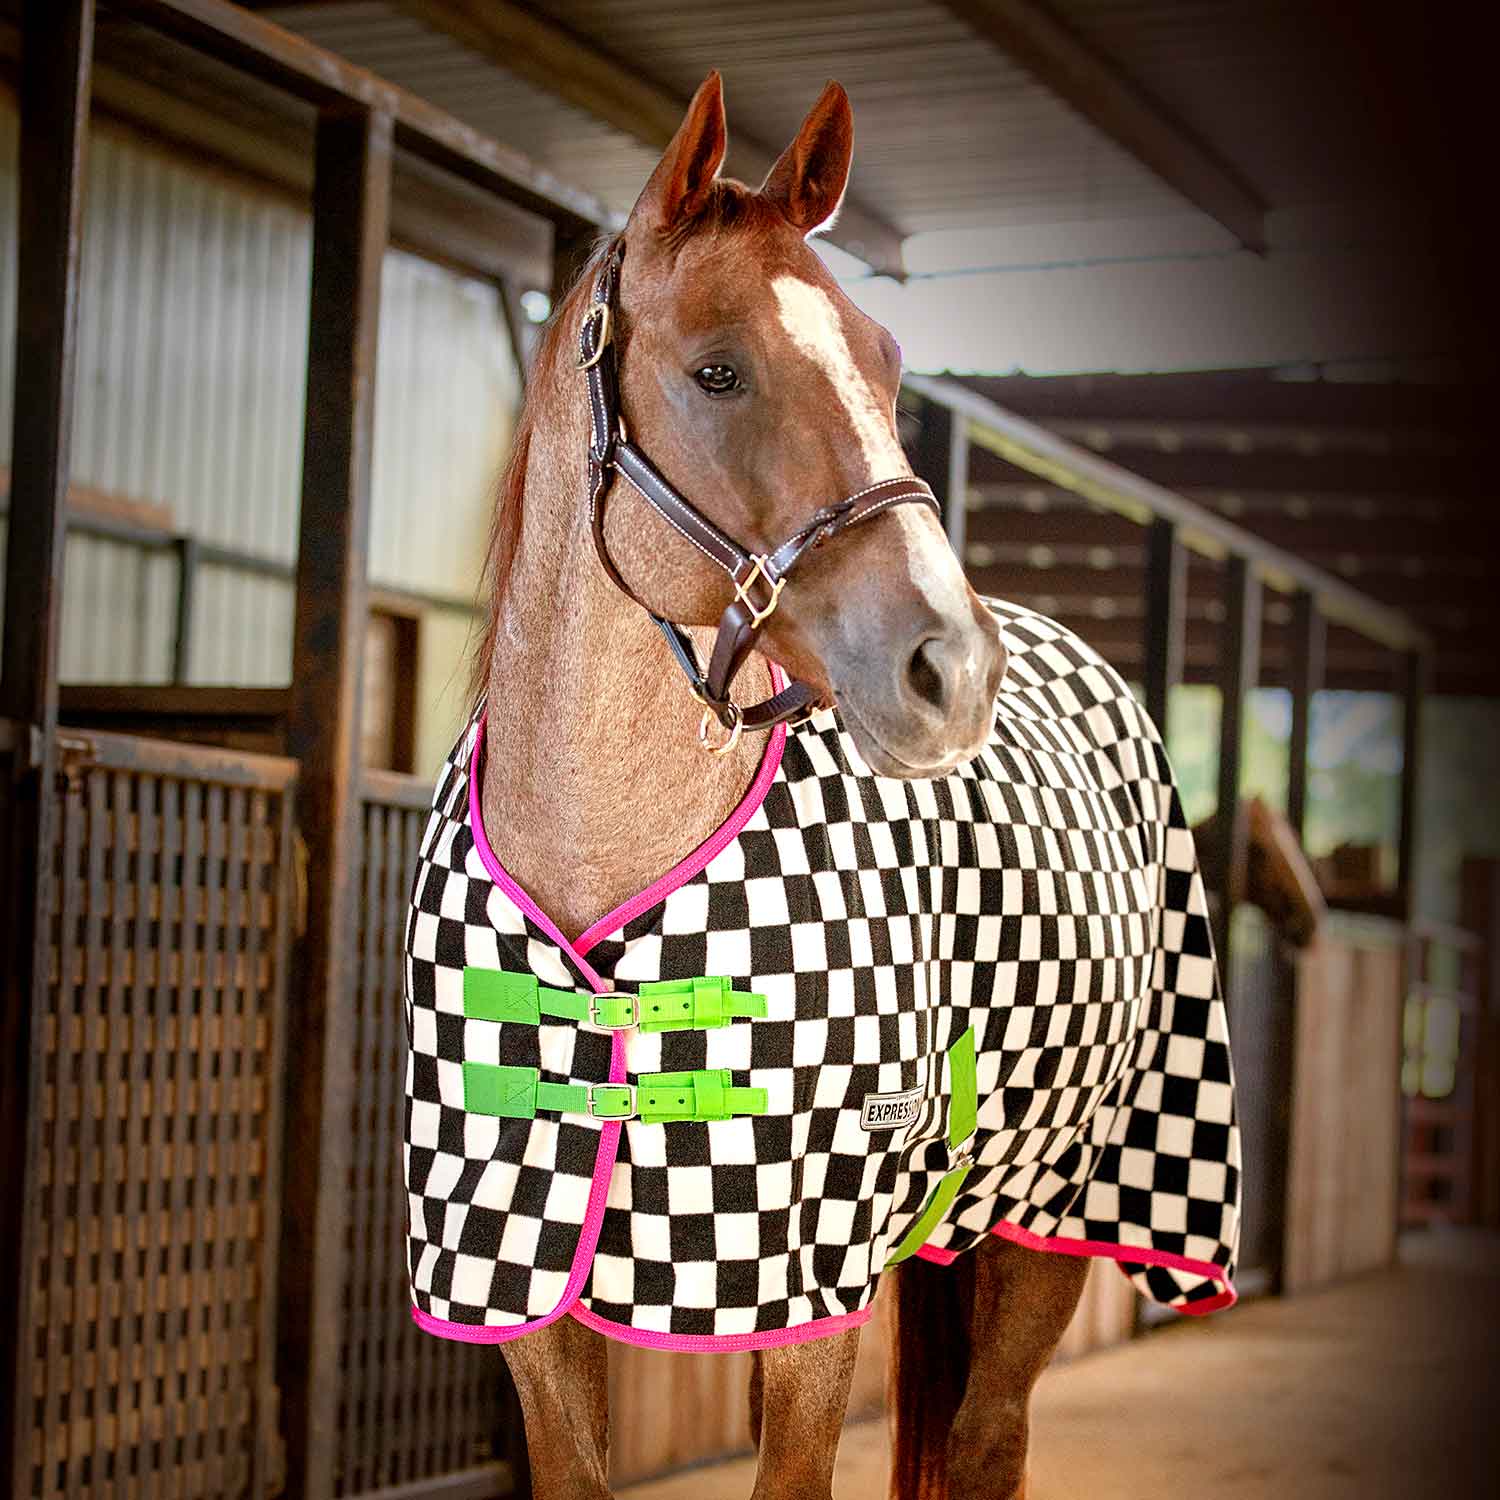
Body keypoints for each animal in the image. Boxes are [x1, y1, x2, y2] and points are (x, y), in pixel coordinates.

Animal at [403, 73, 1239, 1500]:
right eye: (718, 370)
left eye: (890, 365)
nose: (952, 668)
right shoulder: (517, 1282)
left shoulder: (806, 1294)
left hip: (1062, 1211)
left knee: (987, 1438)